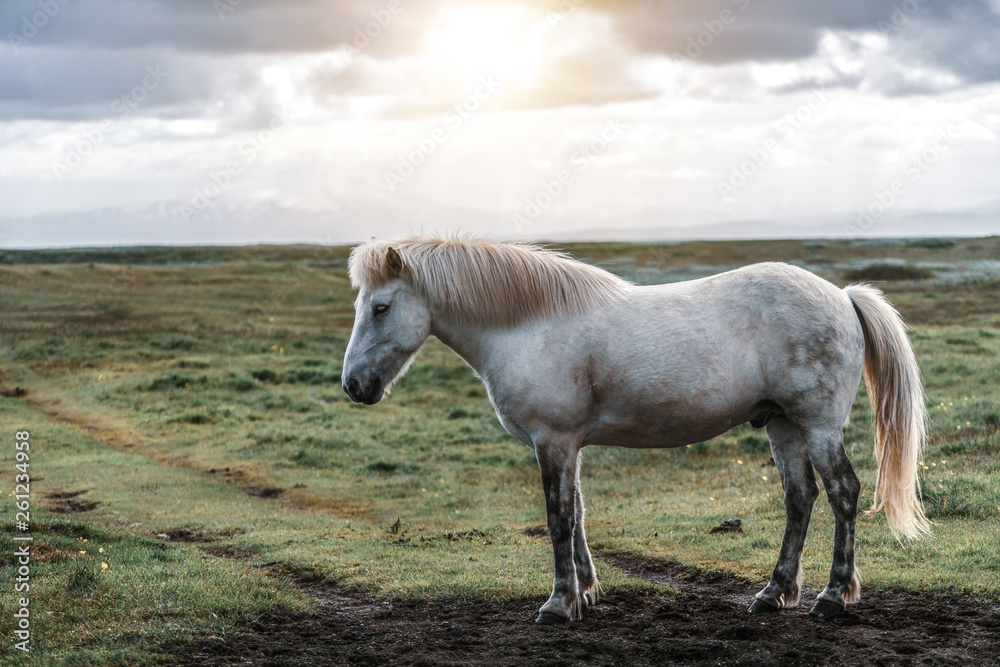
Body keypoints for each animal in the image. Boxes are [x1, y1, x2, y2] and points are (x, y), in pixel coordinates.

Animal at [344, 235, 928, 628]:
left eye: (380, 307)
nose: (353, 385)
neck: (529, 325)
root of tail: (843, 296)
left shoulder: (553, 441)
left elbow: (558, 518)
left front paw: (558, 603)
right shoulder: (567, 444)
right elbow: (577, 513)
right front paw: (586, 592)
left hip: (818, 424)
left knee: (843, 491)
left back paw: (833, 596)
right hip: (782, 424)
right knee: (800, 498)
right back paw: (773, 593)